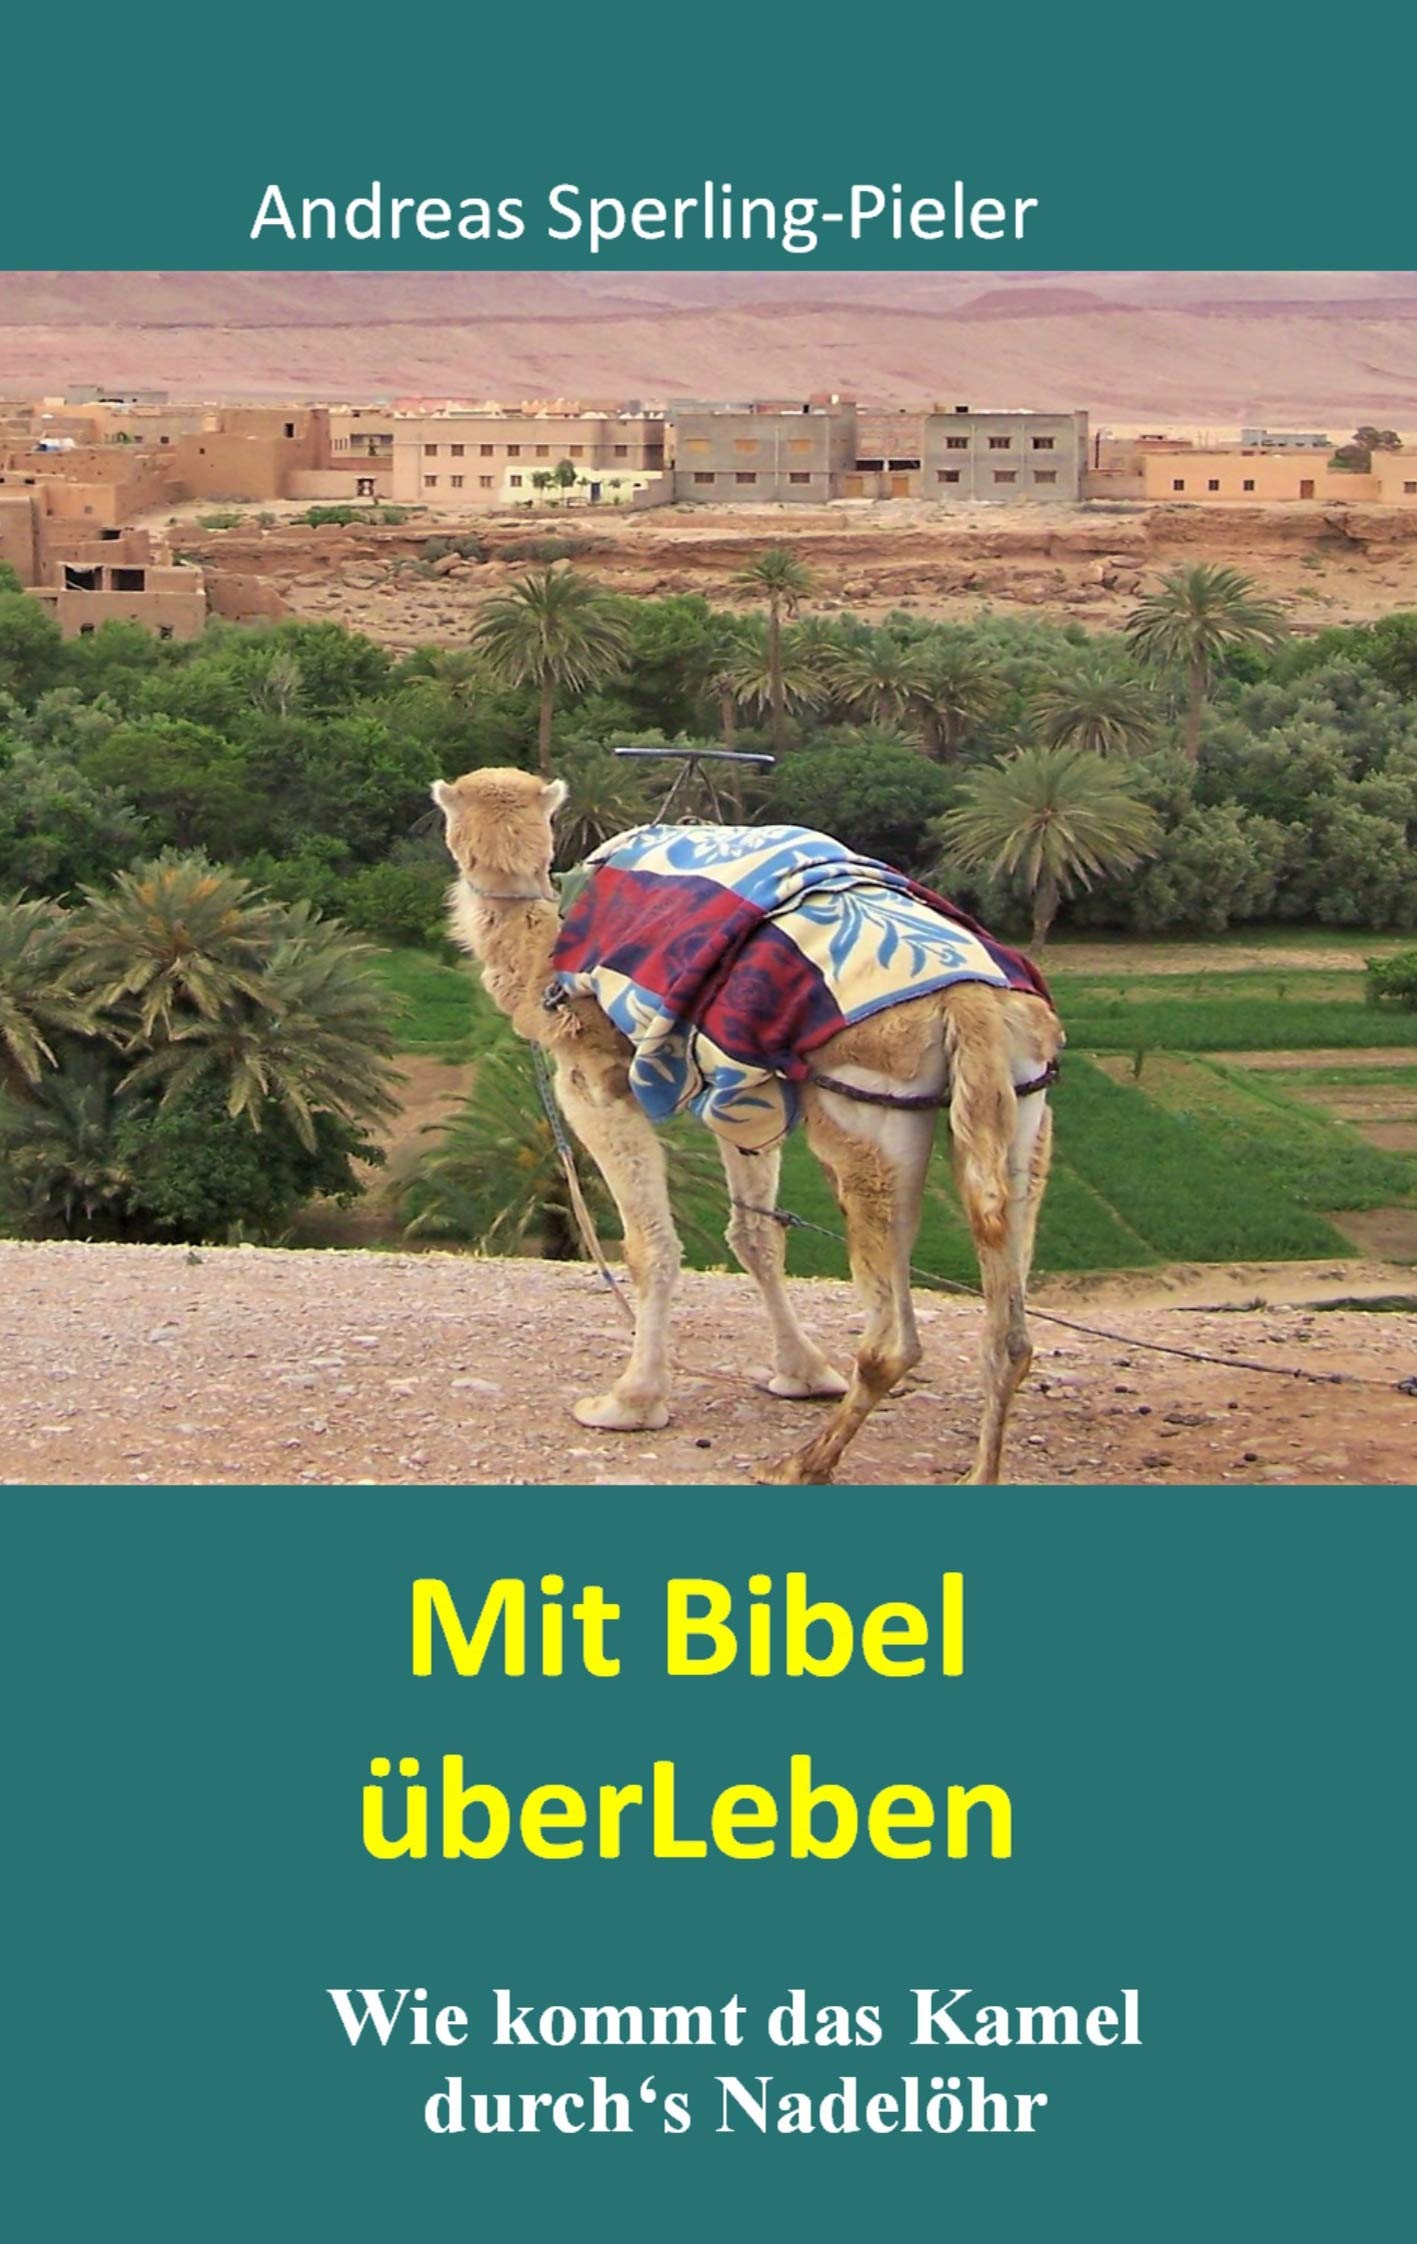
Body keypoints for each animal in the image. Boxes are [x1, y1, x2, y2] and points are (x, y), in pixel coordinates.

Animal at [432, 767, 1063, 1484]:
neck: (545, 953)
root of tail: (971, 1002)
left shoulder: (594, 1078)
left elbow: (651, 1246)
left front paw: (629, 1402)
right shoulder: (743, 1090)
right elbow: (756, 1234)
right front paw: (803, 1373)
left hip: (866, 1116)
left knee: (891, 1339)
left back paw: (802, 1464)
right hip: (1020, 1103)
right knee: (1008, 1325)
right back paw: (975, 1471)